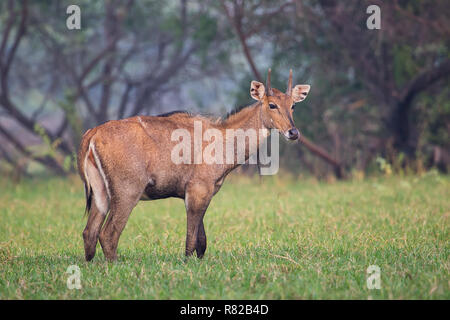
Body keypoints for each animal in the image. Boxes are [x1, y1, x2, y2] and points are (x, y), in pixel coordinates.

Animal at [78, 69, 310, 262]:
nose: (293, 132)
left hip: (100, 194)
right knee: (108, 234)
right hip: (127, 192)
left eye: (293, 105)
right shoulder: (198, 191)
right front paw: (187, 265)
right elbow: (192, 240)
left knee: (89, 233)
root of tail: (92, 134)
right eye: (272, 105)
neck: (223, 138)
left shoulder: (200, 194)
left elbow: (202, 241)